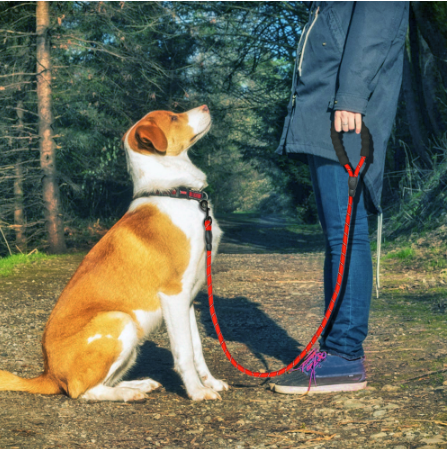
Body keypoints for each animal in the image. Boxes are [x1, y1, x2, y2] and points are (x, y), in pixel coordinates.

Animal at [0, 106, 229, 402]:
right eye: (174, 117)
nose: (206, 107)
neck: (174, 192)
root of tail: (49, 374)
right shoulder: (174, 294)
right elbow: (184, 352)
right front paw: (197, 392)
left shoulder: (187, 297)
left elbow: (197, 348)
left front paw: (210, 383)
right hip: (120, 320)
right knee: (82, 391)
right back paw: (128, 393)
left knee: (102, 382)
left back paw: (138, 385)